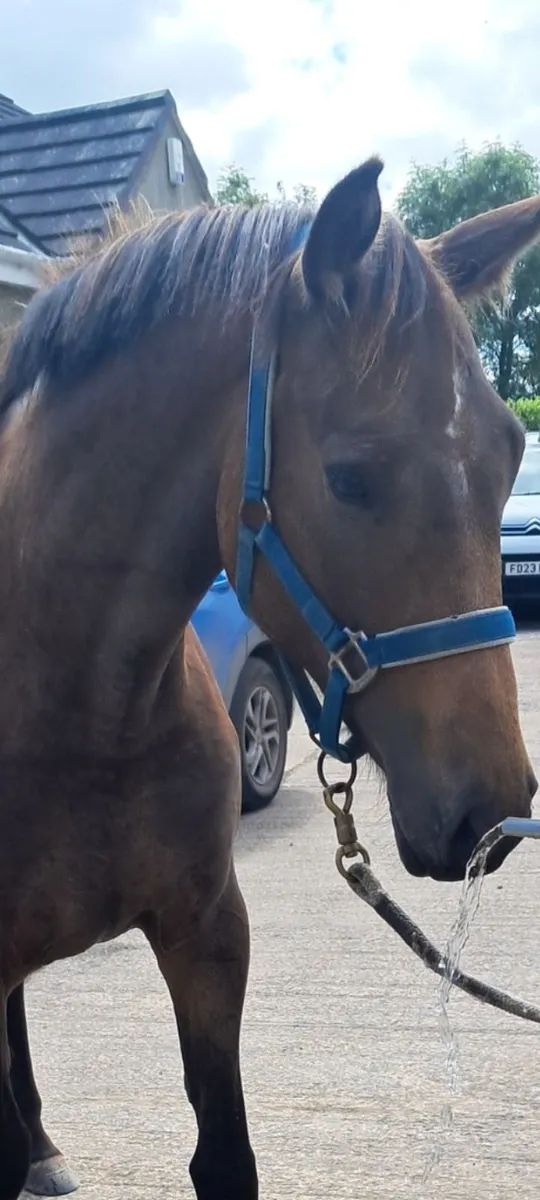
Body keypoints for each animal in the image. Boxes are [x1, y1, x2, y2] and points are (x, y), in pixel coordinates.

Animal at [0, 158, 538, 1200]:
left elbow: (226, 1158)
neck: (77, 708)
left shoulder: (210, 932)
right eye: (351, 477)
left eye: (512, 454)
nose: (489, 815)